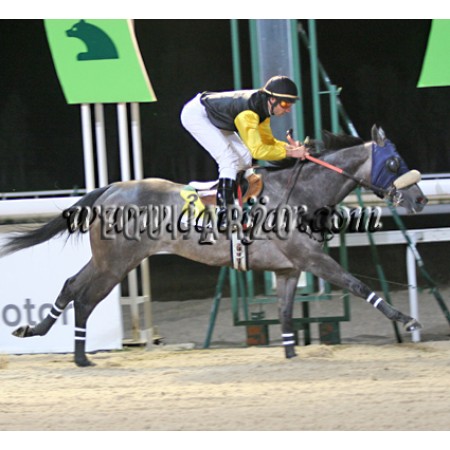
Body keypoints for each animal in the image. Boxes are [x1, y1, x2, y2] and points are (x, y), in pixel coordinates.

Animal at [0, 125, 428, 367]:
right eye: (394, 162)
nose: (421, 199)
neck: (299, 193)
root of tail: (110, 188)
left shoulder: (289, 269)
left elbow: (287, 313)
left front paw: (291, 353)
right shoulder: (311, 258)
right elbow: (359, 284)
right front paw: (407, 320)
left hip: (108, 259)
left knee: (72, 285)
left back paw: (37, 332)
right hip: (116, 264)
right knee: (85, 298)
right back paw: (79, 356)